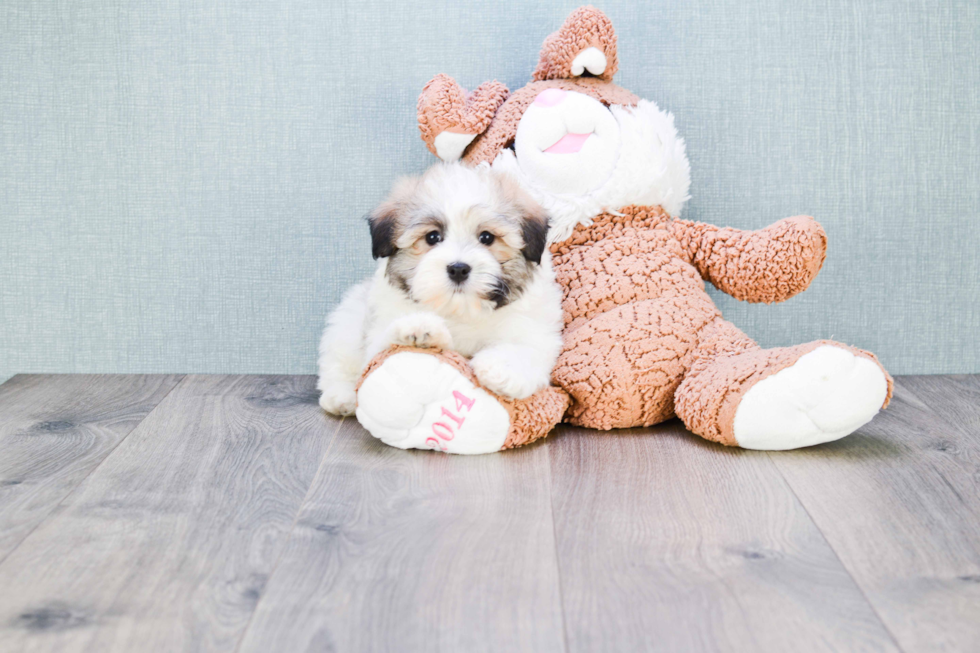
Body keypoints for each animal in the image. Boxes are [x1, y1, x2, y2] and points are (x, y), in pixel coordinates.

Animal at [314, 164, 560, 418]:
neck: (460, 310)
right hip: (348, 321)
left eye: (487, 237)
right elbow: (381, 349)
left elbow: (525, 348)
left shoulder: (532, 326)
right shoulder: (379, 330)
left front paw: (502, 369)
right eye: (432, 237)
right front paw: (420, 328)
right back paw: (341, 397)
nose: (458, 268)